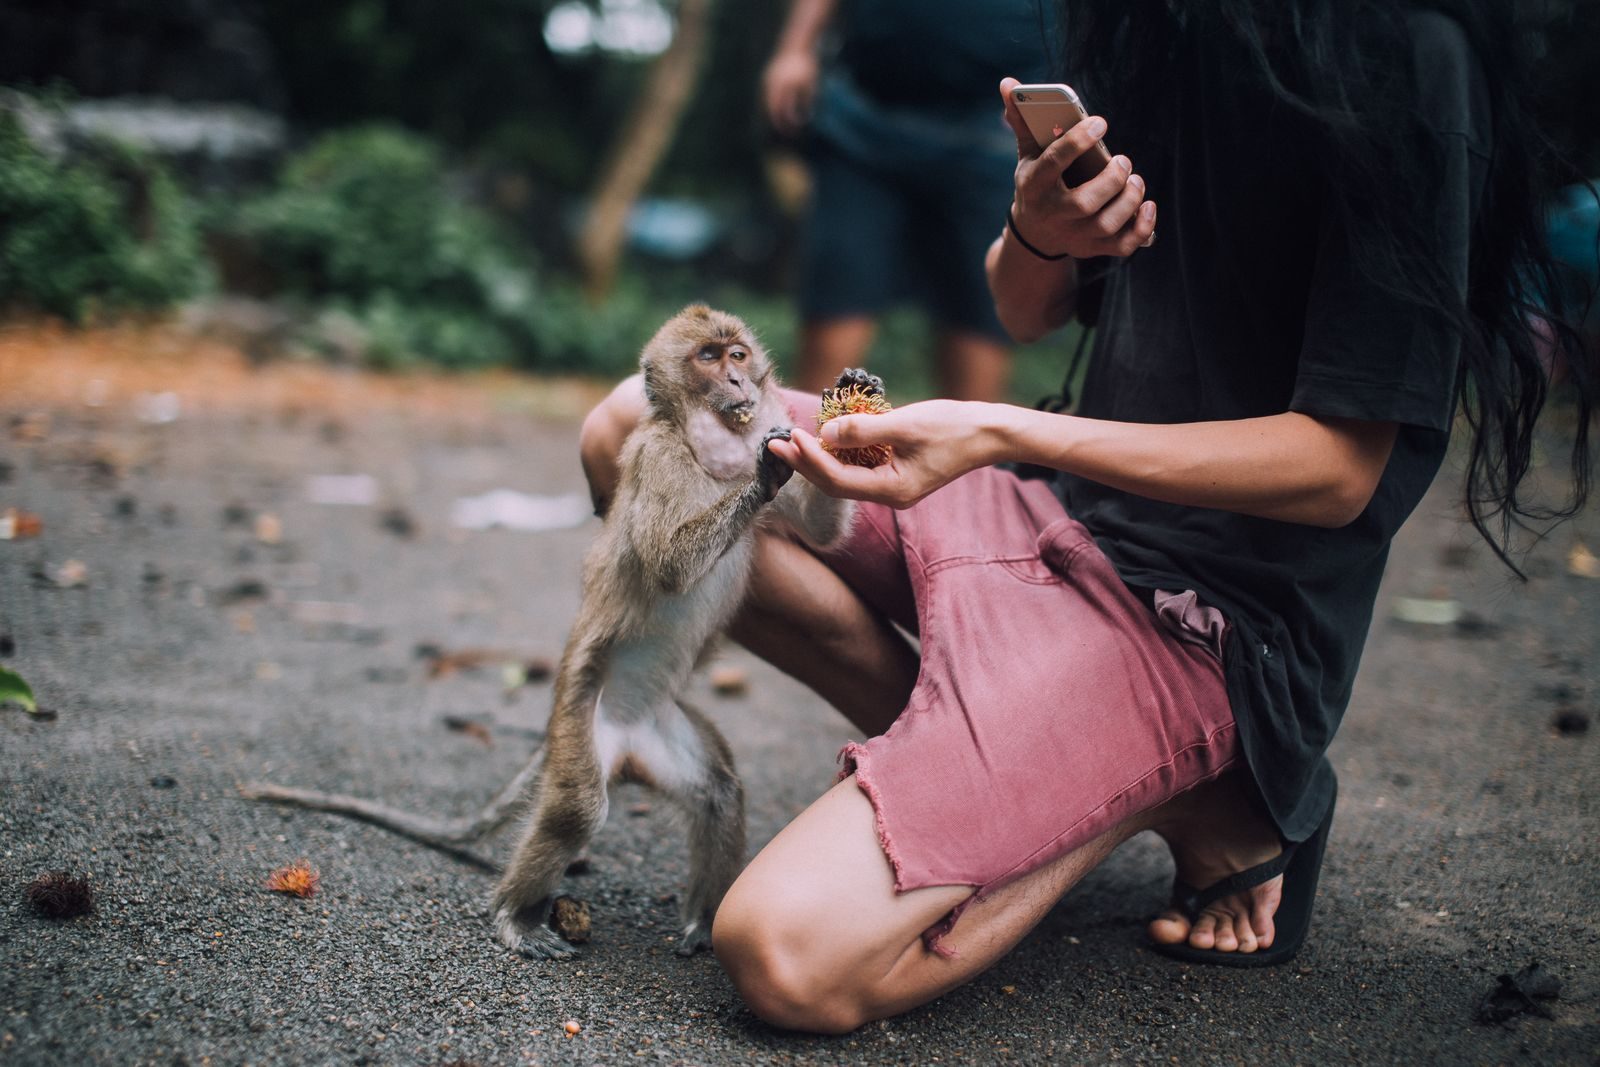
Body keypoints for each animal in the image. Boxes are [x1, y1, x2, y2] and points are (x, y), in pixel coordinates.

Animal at [242, 305, 862, 960]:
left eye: (737, 354)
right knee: (577, 810)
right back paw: (516, 915)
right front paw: (766, 470)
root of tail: (624, 737)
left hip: (659, 732)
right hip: (577, 723)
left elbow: (821, 532)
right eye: (708, 359)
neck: (710, 445)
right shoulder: (659, 458)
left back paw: (698, 921)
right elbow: (668, 564)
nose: (740, 381)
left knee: (719, 793)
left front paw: (849, 403)